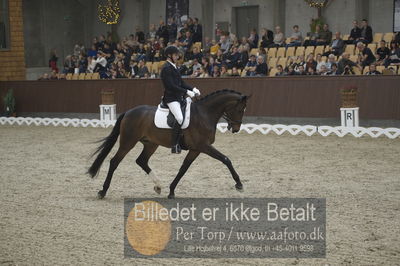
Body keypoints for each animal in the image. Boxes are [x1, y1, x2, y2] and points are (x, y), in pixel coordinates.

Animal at [89, 90, 248, 200]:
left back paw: (158, 186)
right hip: (128, 142)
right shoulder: (204, 146)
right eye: (240, 110)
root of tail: (128, 112)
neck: (204, 114)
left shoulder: (196, 149)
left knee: (141, 161)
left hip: (151, 144)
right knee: (114, 161)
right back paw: (103, 191)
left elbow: (183, 168)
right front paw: (239, 184)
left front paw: (171, 191)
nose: (236, 129)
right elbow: (226, 159)